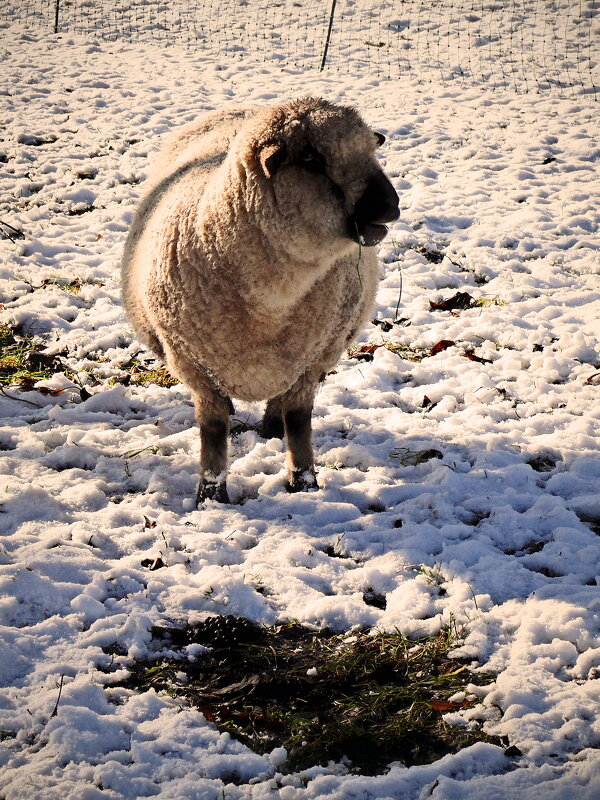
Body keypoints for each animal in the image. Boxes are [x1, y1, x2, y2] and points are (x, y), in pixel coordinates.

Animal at [121, 97, 398, 504]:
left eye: (371, 149)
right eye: (311, 158)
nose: (391, 206)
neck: (271, 300)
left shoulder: (315, 357)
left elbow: (299, 420)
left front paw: (303, 482)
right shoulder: (191, 362)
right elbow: (213, 427)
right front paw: (211, 494)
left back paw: (272, 426)